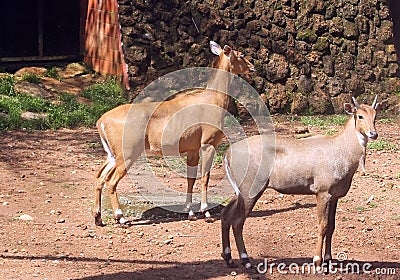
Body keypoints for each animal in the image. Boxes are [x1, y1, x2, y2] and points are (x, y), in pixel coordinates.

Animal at [93, 41, 255, 225]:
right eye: (241, 55)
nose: (252, 67)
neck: (214, 100)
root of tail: (101, 122)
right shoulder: (208, 143)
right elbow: (205, 177)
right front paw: (205, 212)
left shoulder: (192, 148)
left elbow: (190, 179)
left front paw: (190, 212)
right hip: (127, 152)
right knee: (111, 180)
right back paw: (120, 218)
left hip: (112, 154)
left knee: (99, 177)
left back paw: (98, 217)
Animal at [220, 95, 380, 272]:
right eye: (360, 116)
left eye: (375, 115)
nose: (373, 133)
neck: (341, 150)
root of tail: (228, 153)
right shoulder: (322, 193)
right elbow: (323, 226)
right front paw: (317, 261)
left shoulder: (335, 196)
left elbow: (332, 226)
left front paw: (328, 260)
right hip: (251, 190)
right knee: (237, 221)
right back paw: (246, 260)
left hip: (239, 192)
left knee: (225, 214)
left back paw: (228, 258)